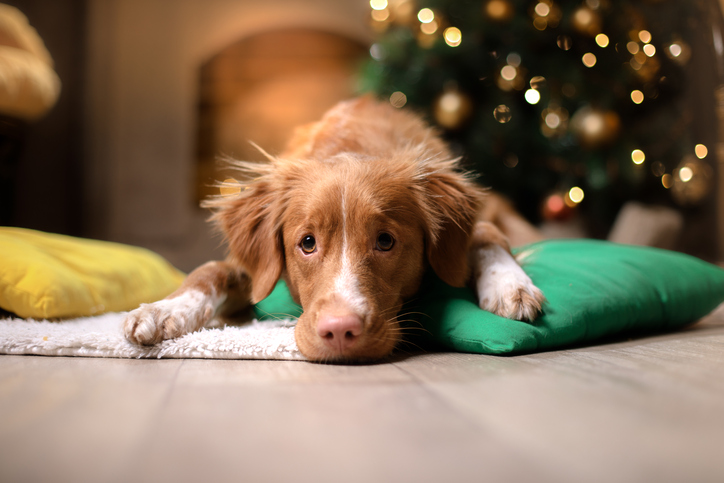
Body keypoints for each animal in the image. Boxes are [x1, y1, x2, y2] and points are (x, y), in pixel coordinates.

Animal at [123, 97, 544, 364]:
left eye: (385, 241)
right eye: (307, 243)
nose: (340, 332)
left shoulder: (477, 224)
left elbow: (486, 235)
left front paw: (508, 284)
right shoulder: (253, 268)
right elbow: (210, 270)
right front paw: (165, 309)